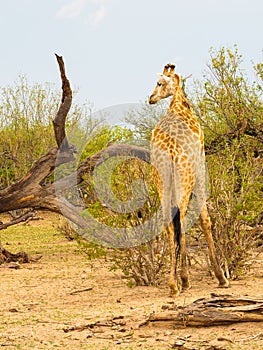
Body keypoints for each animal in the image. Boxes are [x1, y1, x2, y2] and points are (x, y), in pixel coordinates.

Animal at [150, 63, 230, 296]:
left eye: (159, 83)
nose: (151, 98)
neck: (180, 107)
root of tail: (169, 149)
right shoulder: (201, 166)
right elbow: (205, 219)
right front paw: (221, 277)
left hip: (161, 181)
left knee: (169, 222)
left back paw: (173, 284)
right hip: (184, 179)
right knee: (183, 219)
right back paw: (184, 280)